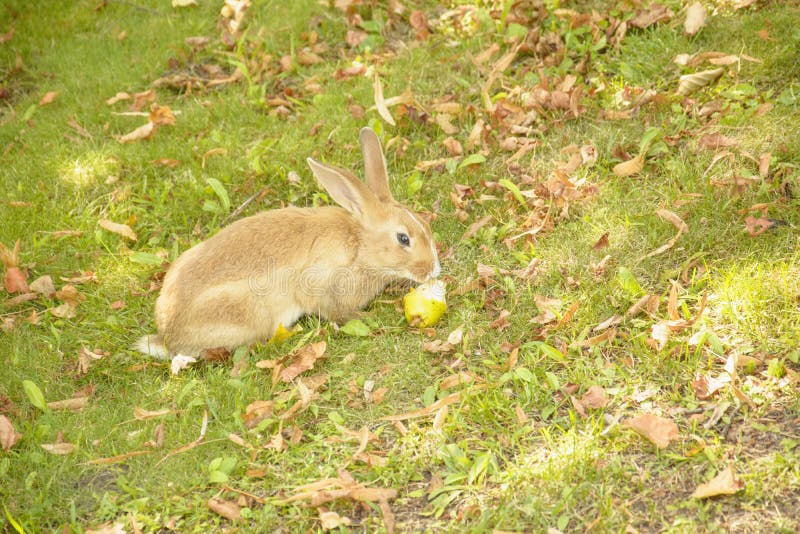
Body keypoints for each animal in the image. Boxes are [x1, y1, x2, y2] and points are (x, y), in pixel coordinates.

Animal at [135, 127, 441, 362]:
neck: (359, 245)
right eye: (403, 239)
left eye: (426, 226)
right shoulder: (320, 283)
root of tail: (168, 336)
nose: (434, 270)